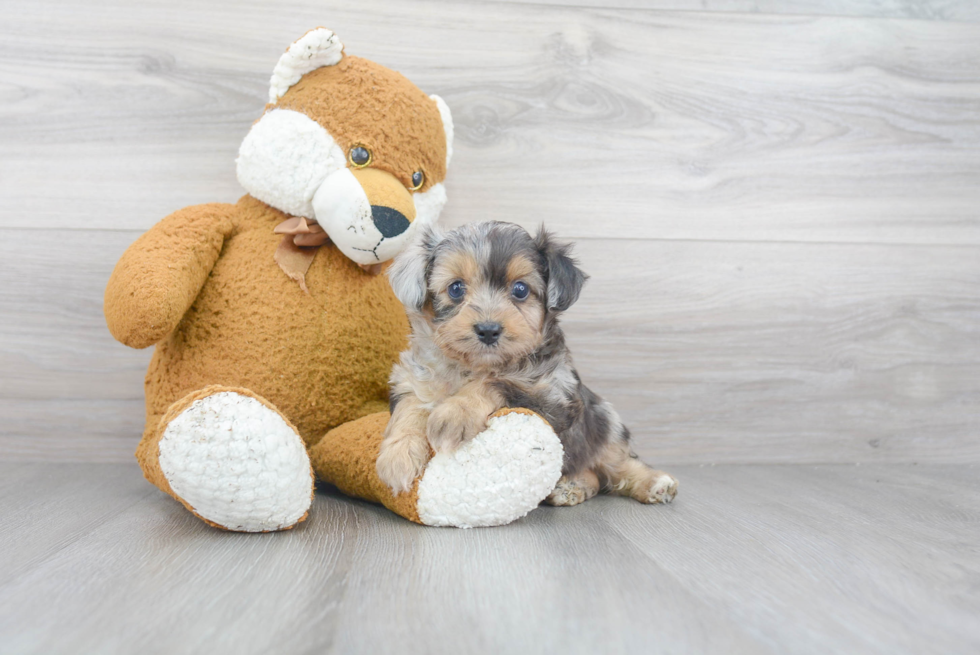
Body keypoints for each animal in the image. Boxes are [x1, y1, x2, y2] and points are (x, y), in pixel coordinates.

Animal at [378, 222, 680, 508]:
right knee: (592, 475)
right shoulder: (414, 380)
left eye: (520, 290)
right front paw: (398, 454)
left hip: (605, 423)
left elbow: (496, 383)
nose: (488, 330)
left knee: (618, 464)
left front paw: (455, 413)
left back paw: (656, 483)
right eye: (456, 288)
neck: (474, 366)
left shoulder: (554, 400)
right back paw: (572, 487)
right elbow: (410, 407)